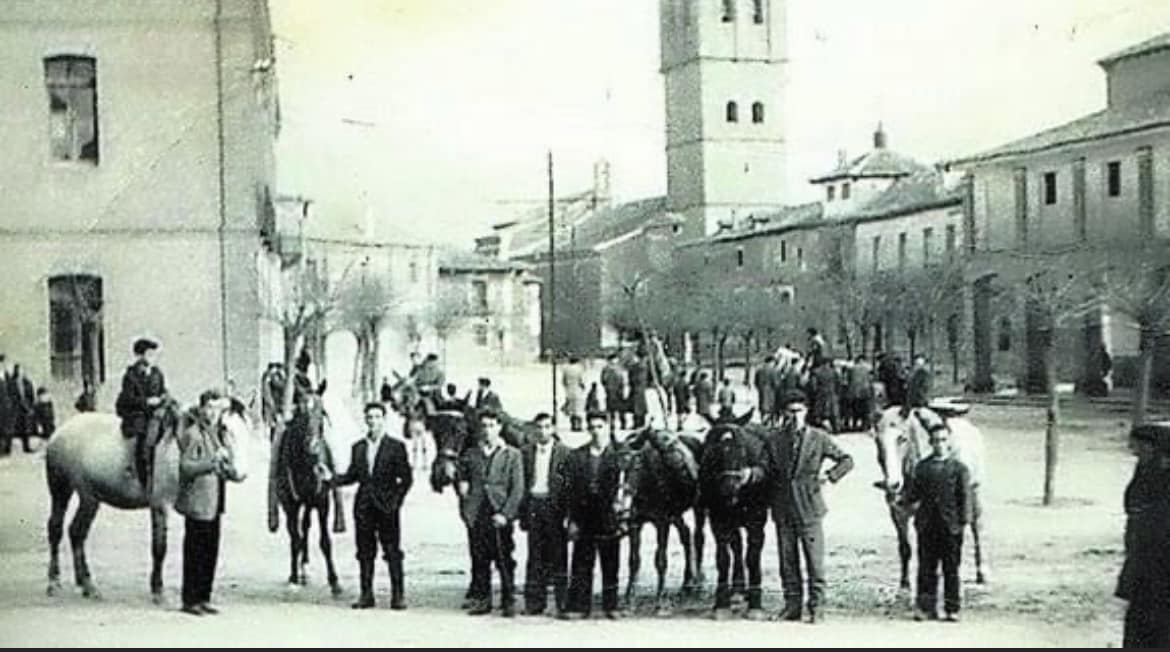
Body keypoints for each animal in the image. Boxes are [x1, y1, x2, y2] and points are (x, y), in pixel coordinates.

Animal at [44, 395, 250, 604]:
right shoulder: (160, 505)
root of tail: (60, 432)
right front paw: (158, 591)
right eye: (224, 427)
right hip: (72, 494)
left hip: (81, 497)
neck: (178, 446)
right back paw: (58, 582)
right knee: (62, 530)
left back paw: (84, 583)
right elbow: (159, 547)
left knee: (72, 532)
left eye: (247, 427)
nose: (239, 472)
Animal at [273, 390, 341, 594]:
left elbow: (325, 541)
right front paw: (294, 577)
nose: (312, 447)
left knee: (306, 525)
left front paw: (334, 580)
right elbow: (295, 538)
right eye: (300, 413)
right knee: (298, 531)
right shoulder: (289, 503)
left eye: (322, 412)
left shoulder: (322, 500)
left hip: (311, 502)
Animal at [608, 426, 706, 613]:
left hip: (698, 508)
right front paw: (629, 598)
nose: (620, 507)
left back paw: (698, 584)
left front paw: (660, 599)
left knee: (698, 538)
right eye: (616, 467)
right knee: (686, 535)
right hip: (676, 514)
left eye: (637, 466)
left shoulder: (662, 523)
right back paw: (686, 585)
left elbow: (661, 560)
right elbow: (634, 561)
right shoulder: (635, 524)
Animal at [697, 409, 772, 618]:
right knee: (736, 546)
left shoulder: (757, 519)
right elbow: (723, 557)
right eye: (713, 450)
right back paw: (737, 588)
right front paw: (721, 603)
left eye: (742, 449)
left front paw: (755, 603)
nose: (729, 488)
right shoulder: (718, 519)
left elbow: (753, 556)